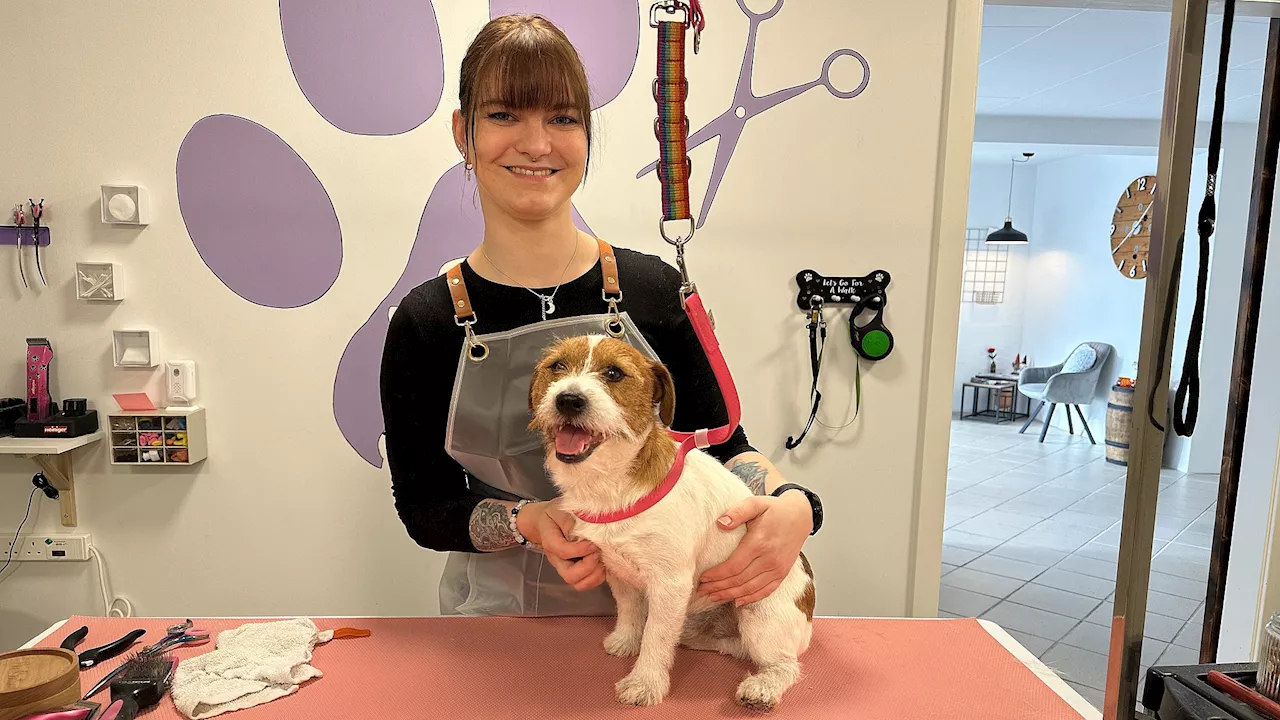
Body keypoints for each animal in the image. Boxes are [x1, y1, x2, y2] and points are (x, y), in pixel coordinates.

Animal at [532, 333, 819, 707]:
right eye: (557, 366)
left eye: (614, 373)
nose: (568, 399)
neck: (611, 484)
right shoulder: (616, 570)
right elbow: (630, 610)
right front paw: (627, 640)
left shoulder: (670, 584)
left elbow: (655, 636)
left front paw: (645, 682)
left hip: (761, 612)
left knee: (785, 665)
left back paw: (763, 687)